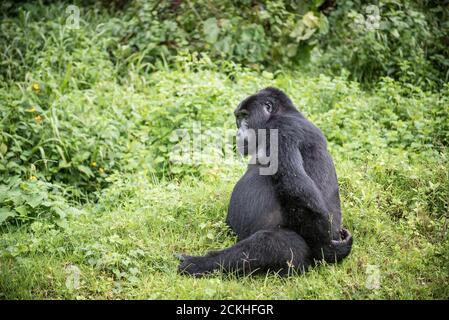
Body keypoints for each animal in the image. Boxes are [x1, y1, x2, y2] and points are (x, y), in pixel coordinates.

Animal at [177, 87, 352, 276]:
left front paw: (328, 250)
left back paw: (200, 264)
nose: (238, 131)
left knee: (271, 243)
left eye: (245, 116)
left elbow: (297, 188)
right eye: (238, 118)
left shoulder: (281, 131)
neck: (282, 113)